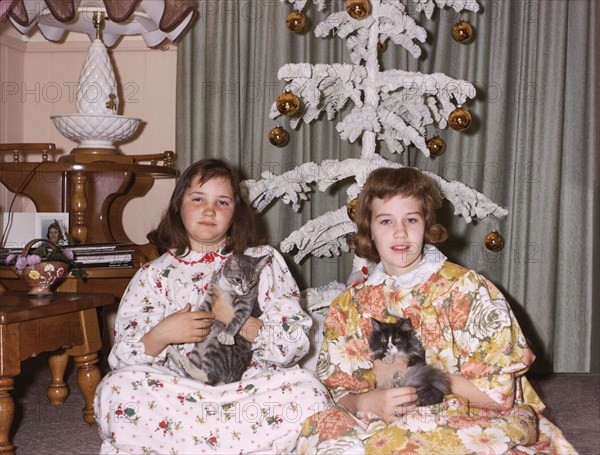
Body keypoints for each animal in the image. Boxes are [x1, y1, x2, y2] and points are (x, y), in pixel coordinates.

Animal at [168, 255, 268, 386]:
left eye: (251, 281)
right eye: (238, 279)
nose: (245, 290)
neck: (228, 287)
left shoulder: (247, 302)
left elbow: (239, 317)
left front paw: (227, 335)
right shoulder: (212, 291)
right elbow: (203, 307)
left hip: (218, 348)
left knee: (211, 378)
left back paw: (185, 363)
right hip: (200, 348)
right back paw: (176, 356)